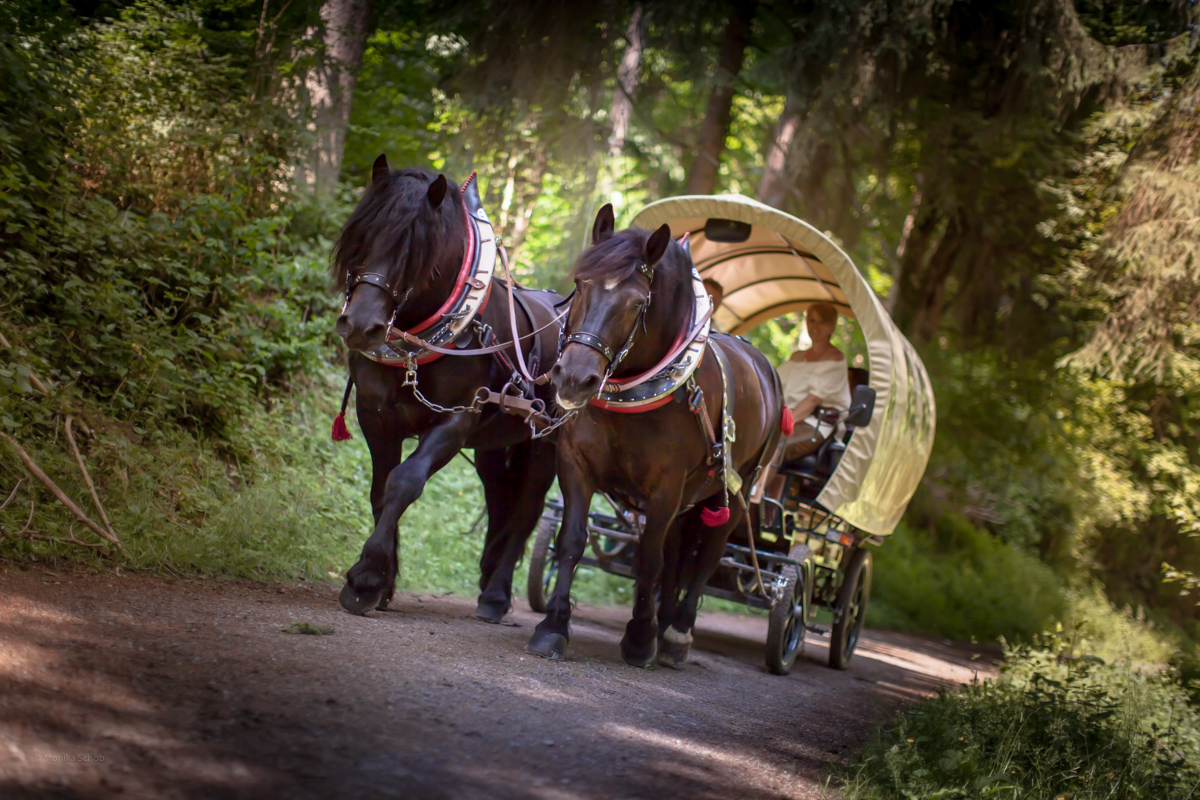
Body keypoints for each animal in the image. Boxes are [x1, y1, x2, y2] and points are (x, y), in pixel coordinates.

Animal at [333, 154, 561, 618]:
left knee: (525, 513)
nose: (361, 326)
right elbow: (380, 490)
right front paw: (383, 583)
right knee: (499, 502)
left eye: (413, 250)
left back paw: (495, 595)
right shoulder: (376, 418)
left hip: (544, 445)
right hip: (495, 446)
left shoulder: (455, 421)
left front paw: (364, 579)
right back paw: (489, 578)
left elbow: (404, 482)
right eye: (361, 235)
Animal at [530, 206, 782, 671]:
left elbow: (649, 558)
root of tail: (762, 362)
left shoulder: (667, 487)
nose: (573, 379)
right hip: (691, 498)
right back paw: (665, 620)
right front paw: (553, 625)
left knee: (708, 555)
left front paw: (639, 637)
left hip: (735, 491)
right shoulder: (576, 464)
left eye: (637, 303)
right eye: (580, 283)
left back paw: (676, 633)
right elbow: (572, 541)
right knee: (680, 554)